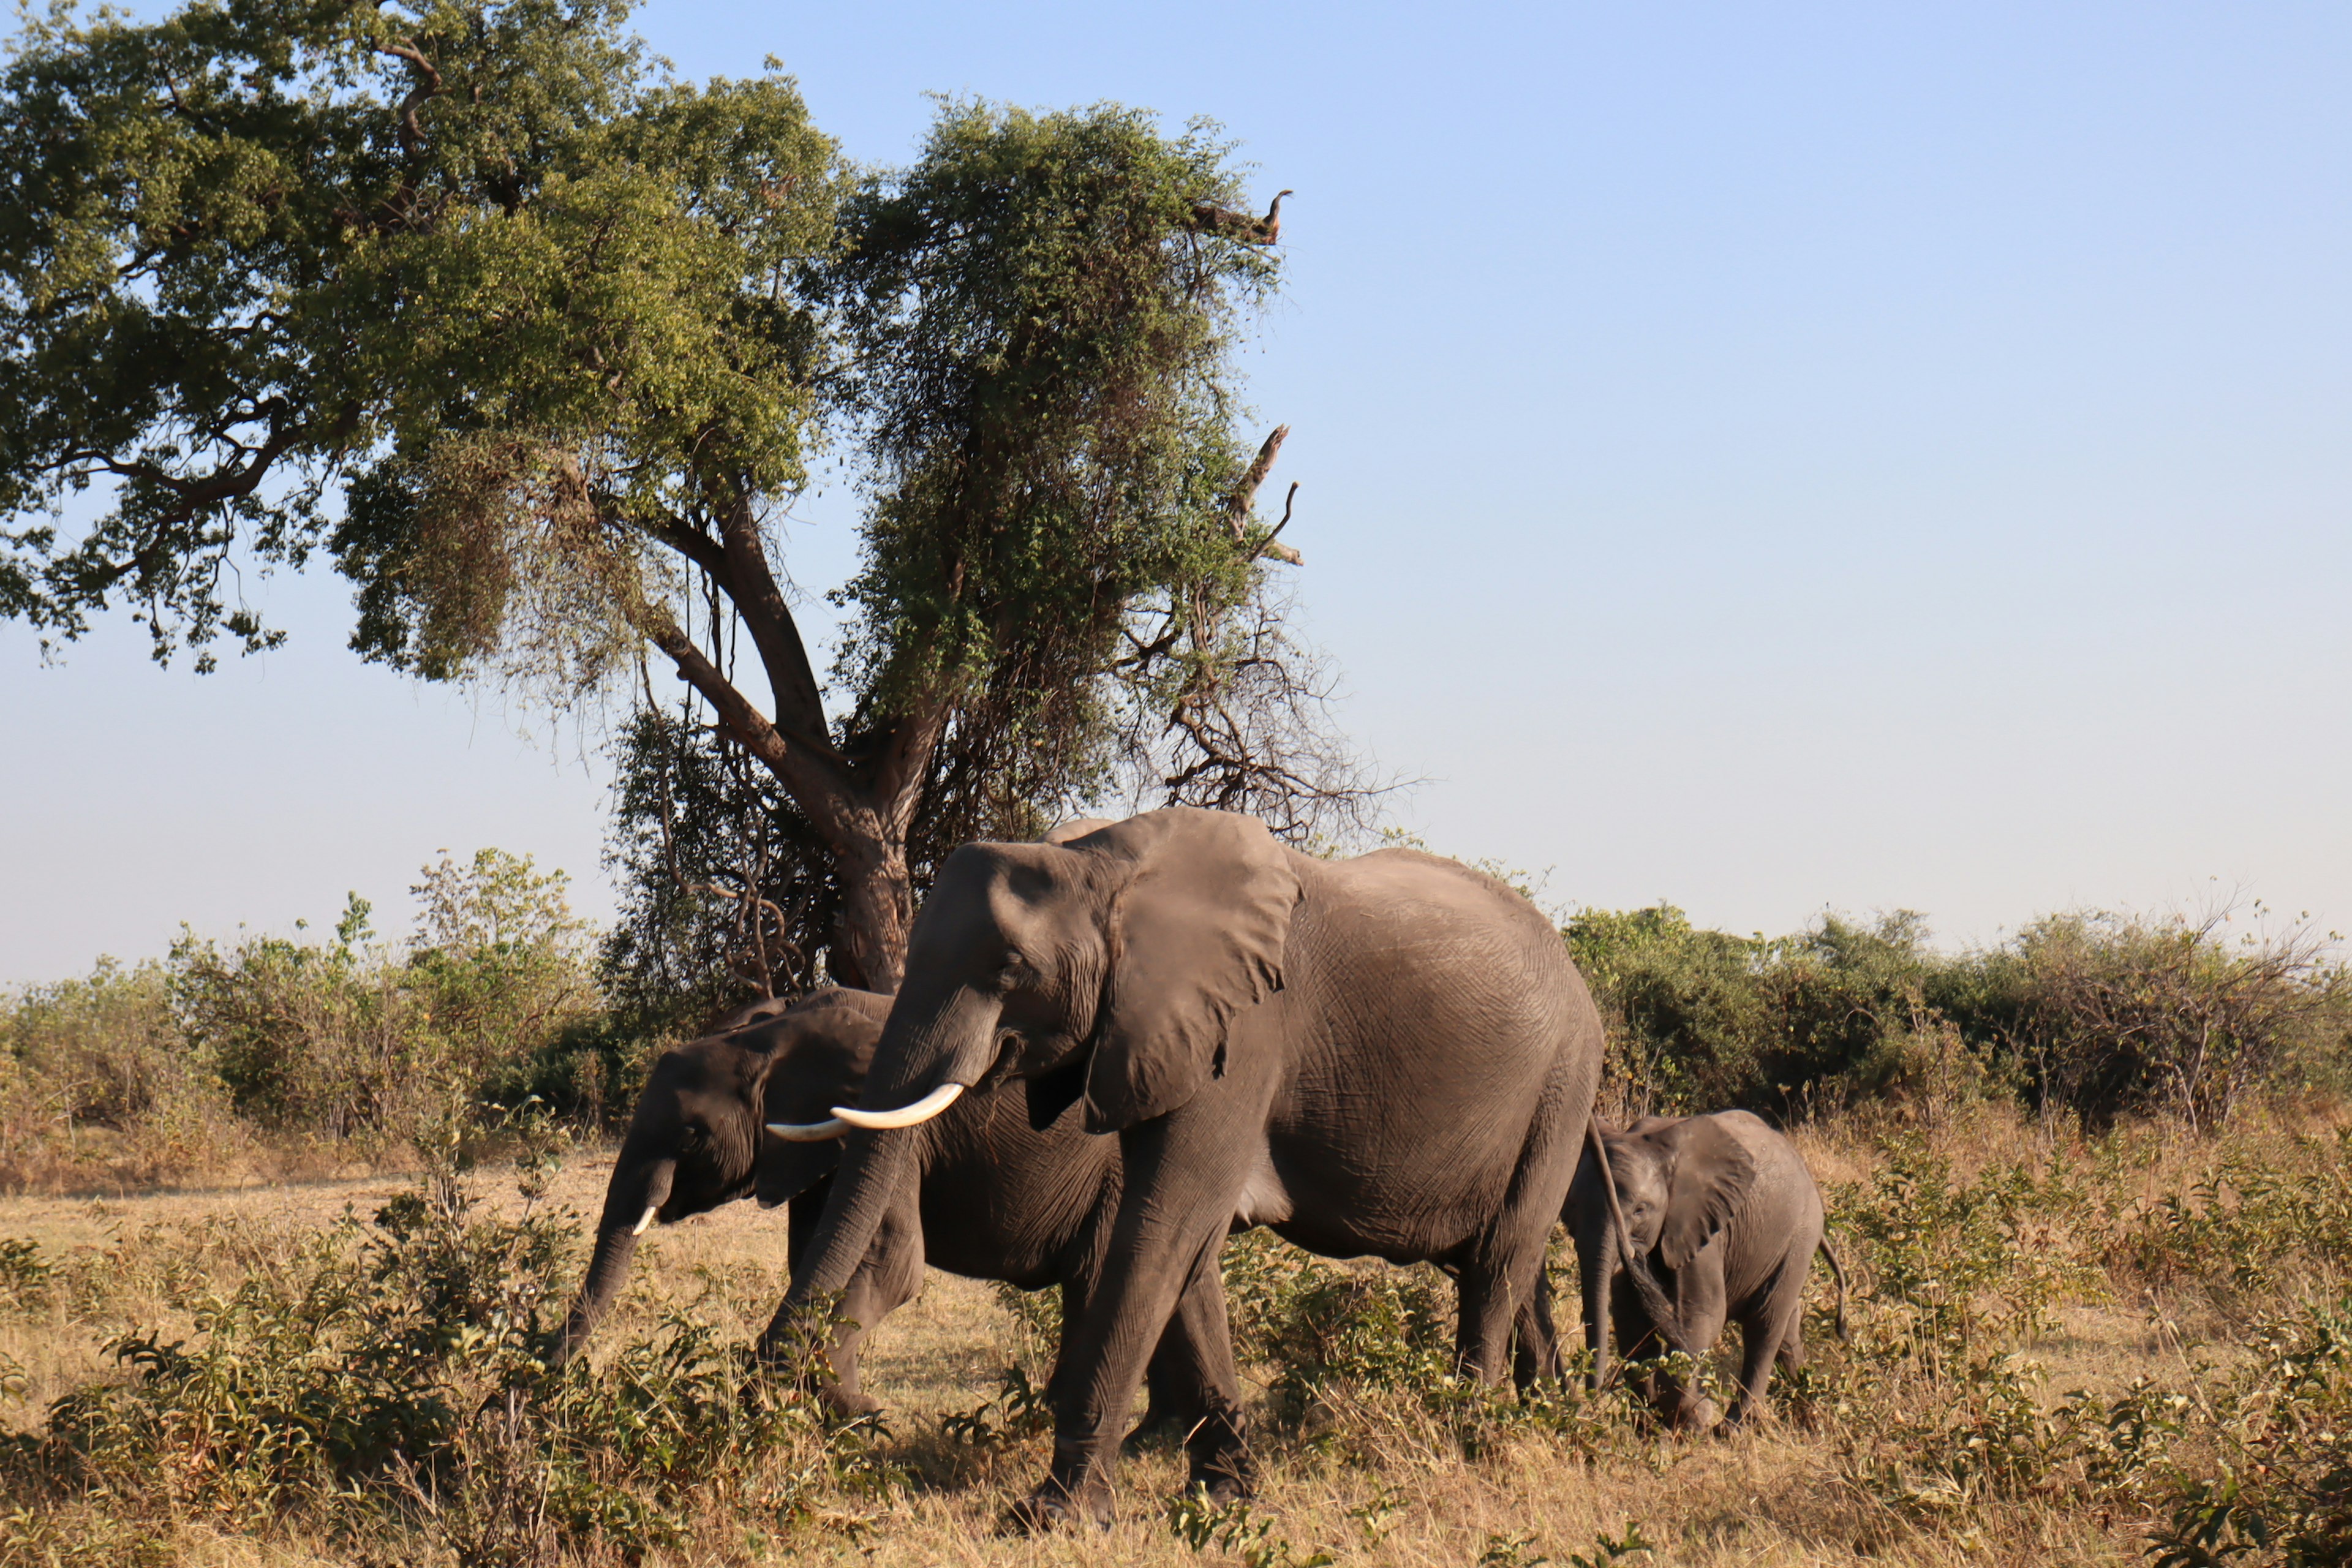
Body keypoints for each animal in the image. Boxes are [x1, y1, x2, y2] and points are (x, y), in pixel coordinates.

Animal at [550, 987, 1261, 1504]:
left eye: (693, 1136)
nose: (548, 1383)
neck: (771, 1035)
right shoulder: (821, 1153)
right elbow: (820, 1257)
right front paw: (851, 1413)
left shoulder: (893, 1133)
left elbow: (892, 1264)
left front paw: (862, 1417)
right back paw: (1150, 1439)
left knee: (1102, 1280)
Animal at [771, 809, 1599, 1532]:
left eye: (1011, 969)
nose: (785, 1382)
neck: (1107, 865)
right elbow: (1188, 1253)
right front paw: (1226, 1494)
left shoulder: (1246, 1031)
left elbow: (1159, 1229)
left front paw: (1053, 1517)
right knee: (1501, 1263)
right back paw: (1547, 1412)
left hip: (1563, 1080)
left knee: (1501, 1259)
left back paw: (1472, 1435)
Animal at [1571, 1109, 1844, 1429]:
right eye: (1571, 1210)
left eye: (1640, 1210)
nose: (1589, 1401)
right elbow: (1631, 1321)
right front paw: (1654, 1423)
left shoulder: (1703, 1226)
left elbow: (1700, 1314)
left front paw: (1692, 1417)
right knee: (1787, 1330)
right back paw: (1806, 1410)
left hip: (1800, 1234)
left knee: (1765, 1323)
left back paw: (1735, 1428)